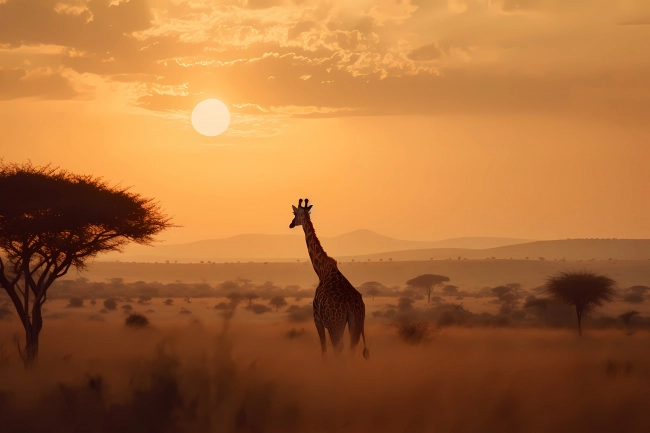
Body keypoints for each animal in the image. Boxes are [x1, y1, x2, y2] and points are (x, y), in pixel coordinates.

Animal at [288, 197, 370, 360]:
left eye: (294, 213)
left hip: (335, 325)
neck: (322, 270)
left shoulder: (317, 319)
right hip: (357, 322)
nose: (291, 224)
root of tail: (349, 306)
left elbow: (324, 350)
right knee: (352, 349)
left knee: (339, 348)